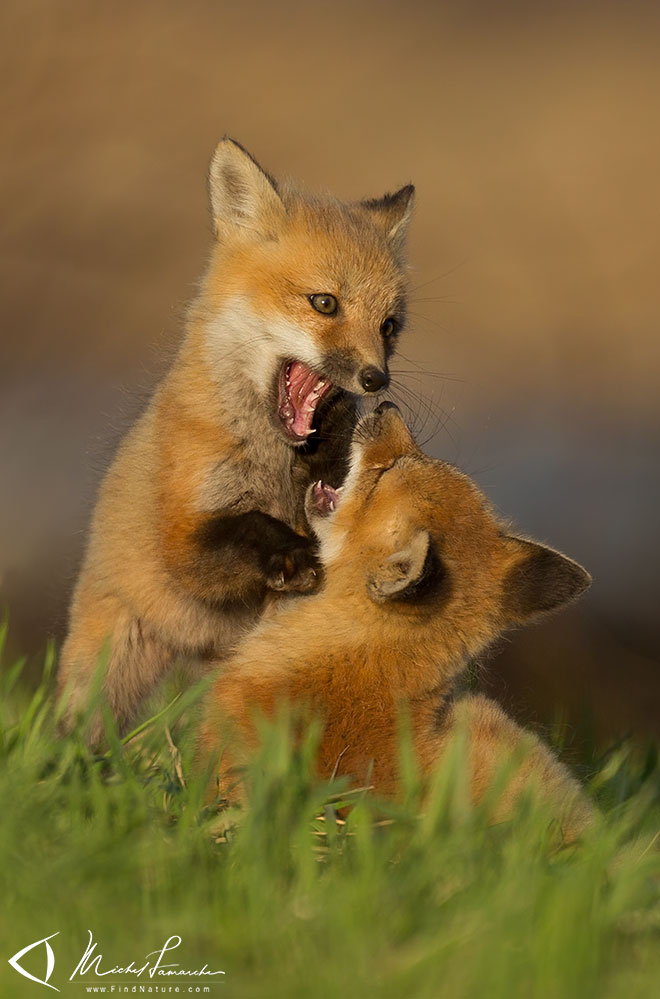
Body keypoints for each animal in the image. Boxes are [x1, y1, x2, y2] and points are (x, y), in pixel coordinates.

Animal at [58, 139, 415, 743]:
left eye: (389, 326)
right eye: (325, 303)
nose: (375, 379)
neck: (276, 464)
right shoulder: (184, 538)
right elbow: (249, 530)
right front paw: (296, 554)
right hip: (106, 667)